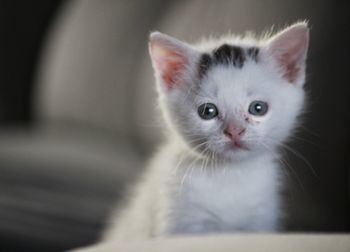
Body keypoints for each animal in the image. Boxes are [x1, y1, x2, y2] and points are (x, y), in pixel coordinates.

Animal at [103, 22, 308, 240]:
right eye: (207, 111)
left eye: (258, 108)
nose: (234, 131)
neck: (230, 175)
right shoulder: (179, 218)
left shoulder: (260, 219)